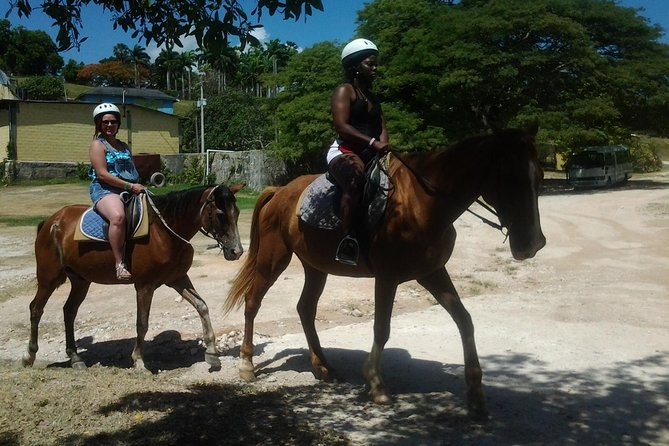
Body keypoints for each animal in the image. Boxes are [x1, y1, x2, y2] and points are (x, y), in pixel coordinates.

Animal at [22, 183, 244, 372]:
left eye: (237, 212)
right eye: (220, 214)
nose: (237, 251)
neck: (163, 231)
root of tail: (51, 221)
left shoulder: (177, 279)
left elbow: (202, 306)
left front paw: (212, 354)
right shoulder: (144, 285)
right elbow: (142, 323)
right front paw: (138, 361)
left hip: (80, 280)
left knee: (69, 311)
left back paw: (75, 358)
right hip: (49, 279)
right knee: (36, 309)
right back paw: (29, 356)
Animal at [222, 124, 544, 414]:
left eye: (539, 177)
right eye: (509, 178)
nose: (533, 244)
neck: (422, 203)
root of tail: (279, 191)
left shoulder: (432, 272)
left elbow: (464, 320)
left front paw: (476, 393)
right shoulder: (387, 278)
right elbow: (382, 328)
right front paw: (376, 384)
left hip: (315, 266)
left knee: (305, 308)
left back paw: (323, 367)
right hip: (273, 259)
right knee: (252, 302)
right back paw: (247, 365)